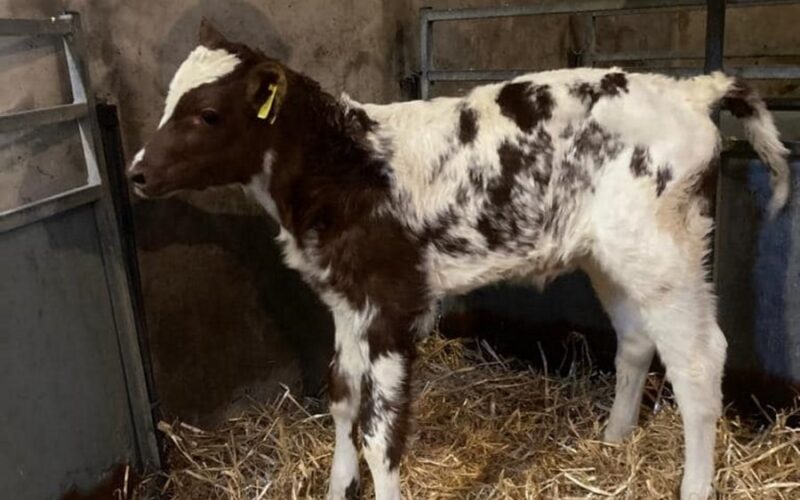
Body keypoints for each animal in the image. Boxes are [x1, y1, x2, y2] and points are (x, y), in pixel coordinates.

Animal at [129, 20, 790, 500]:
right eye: (167, 101)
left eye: (208, 114)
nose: (136, 172)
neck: (345, 166)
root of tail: (690, 89)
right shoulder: (345, 299)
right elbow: (341, 397)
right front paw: (337, 487)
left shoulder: (392, 304)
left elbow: (380, 433)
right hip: (611, 255)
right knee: (635, 340)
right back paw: (611, 442)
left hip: (665, 248)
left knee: (700, 360)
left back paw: (693, 486)